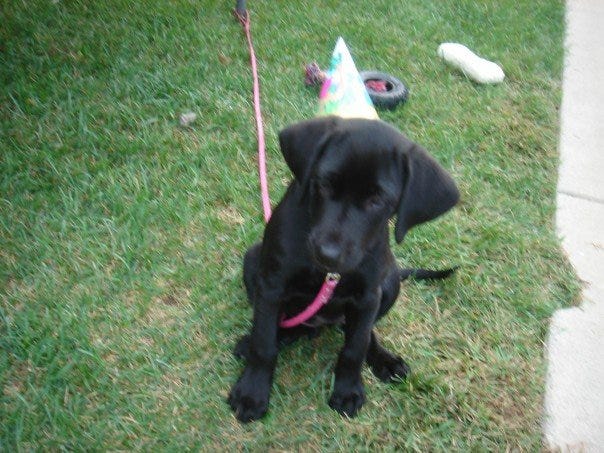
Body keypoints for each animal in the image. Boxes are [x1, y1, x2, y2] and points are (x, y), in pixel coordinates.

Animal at [227, 116, 459, 422]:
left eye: (377, 200)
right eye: (325, 183)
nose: (327, 254)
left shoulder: (368, 296)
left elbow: (355, 348)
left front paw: (347, 390)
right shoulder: (272, 284)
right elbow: (263, 343)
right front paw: (252, 392)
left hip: (389, 283)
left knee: (365, 332)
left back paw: (385, 360)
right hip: (253, 260)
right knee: (286, 325)